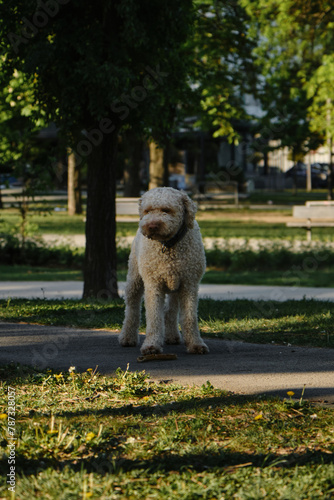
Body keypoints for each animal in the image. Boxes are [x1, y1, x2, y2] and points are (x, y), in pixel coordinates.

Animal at [118, 188, 209, 356]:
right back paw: (127, 337)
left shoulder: (189, 285)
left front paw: (196, 344)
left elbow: (189, 317)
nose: (151, 225)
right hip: (134, 278)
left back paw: (172, 336)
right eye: (147, 211)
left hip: (175, 287)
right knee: (132, 308)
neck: (168, 244)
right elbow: (154, 318)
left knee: (170, 310)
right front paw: (151, 345)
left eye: (166, 210)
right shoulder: (153, 285)